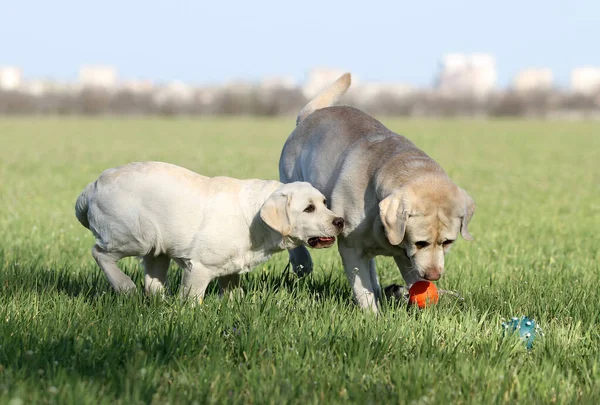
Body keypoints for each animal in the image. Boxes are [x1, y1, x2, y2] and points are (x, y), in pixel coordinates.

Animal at [76, 161, 342, 300]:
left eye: (324, 203)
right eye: (308, 208)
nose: (339, 221)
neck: (254, 219)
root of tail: (92, 187)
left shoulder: (231, 270)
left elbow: (233, 294)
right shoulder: (199, 267)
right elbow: (192, 299)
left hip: (156, 249)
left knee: (152, 283)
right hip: (135, 237)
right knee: (99, 253)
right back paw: (125, 286)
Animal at [278, 72, 476, 312]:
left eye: (448, 242)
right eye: (420, 243)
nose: (433, 276)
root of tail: (310, 115)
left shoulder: (406, 256)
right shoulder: (351, 248)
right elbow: (363, 291)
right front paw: (373, 315)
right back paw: (302, 263)